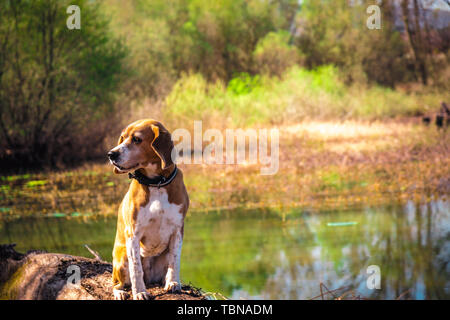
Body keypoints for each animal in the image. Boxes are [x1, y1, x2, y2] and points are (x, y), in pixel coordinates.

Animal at [108, 119, 189, 300]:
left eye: (137, 139)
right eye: (122, 138)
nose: (111, 154)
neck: (156, 183)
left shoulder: (178, 230)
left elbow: (175, 260)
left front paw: (173, 282)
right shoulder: (133, 233)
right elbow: (136, 269)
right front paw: (139, 292)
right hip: (122, 255)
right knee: (115, 282)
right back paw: (120, 292)